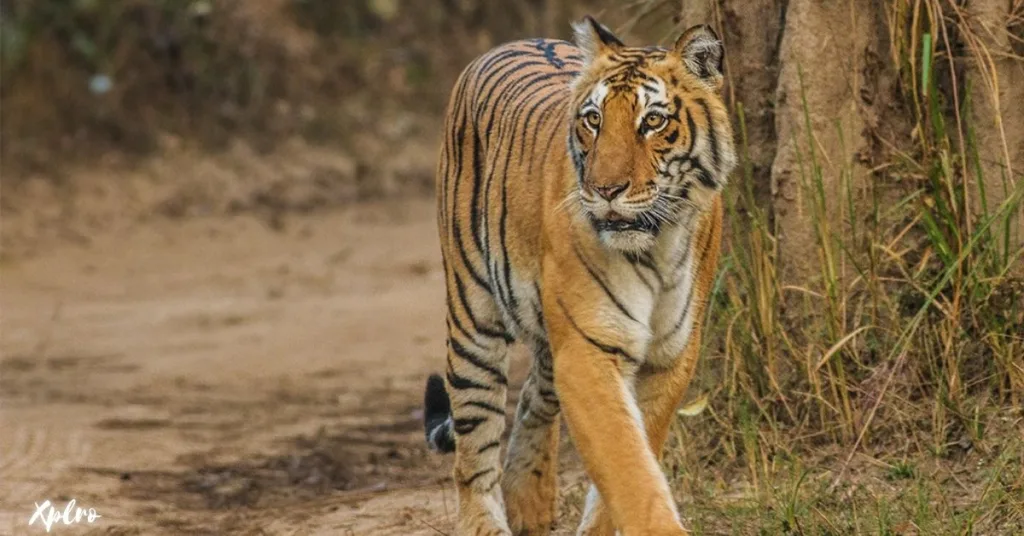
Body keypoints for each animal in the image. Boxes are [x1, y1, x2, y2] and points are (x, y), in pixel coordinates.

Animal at [419, 14, 733, 532]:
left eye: (653, 121)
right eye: (593, 120)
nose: (606, 189)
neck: (657, 246)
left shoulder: (671, 356)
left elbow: (635, 452)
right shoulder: (588, 350)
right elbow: (627, 463)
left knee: (532, 397)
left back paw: (530, 500)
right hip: (473, 315)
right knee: (474, 448)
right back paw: (487, 520)